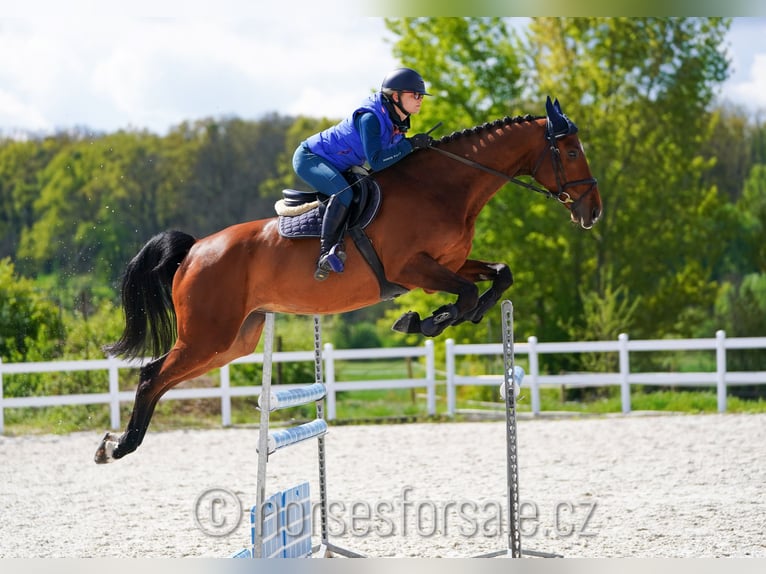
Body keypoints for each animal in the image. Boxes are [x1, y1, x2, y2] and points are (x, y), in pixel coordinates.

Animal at [94, 97, 600, 466]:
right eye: (572, 151)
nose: (592, 212)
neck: (444, 188)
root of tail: (195, 249)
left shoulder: (449, 263)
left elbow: (497, 276)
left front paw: (446, 317)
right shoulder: (411, 268)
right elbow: (468, 291)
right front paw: (426, 320)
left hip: (232, 341)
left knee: (164, 378)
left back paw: (118, 442)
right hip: (206, 336)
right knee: (151, 374)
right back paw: (119, 446)